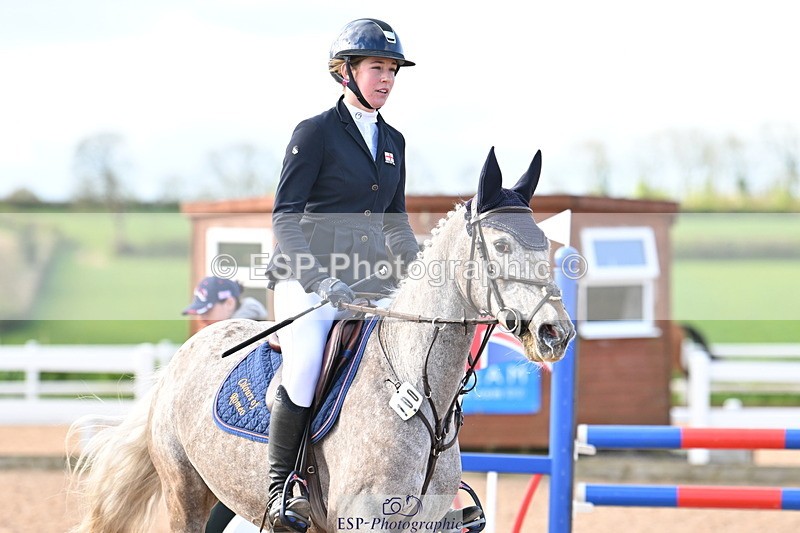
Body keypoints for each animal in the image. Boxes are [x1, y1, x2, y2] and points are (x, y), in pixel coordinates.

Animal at [68, 147, 574, 533]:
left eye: (546, 244)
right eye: (502, 246)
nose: (556, 332)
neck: (415, 389)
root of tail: (181, 358)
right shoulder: (364, 521)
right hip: (186, 494)